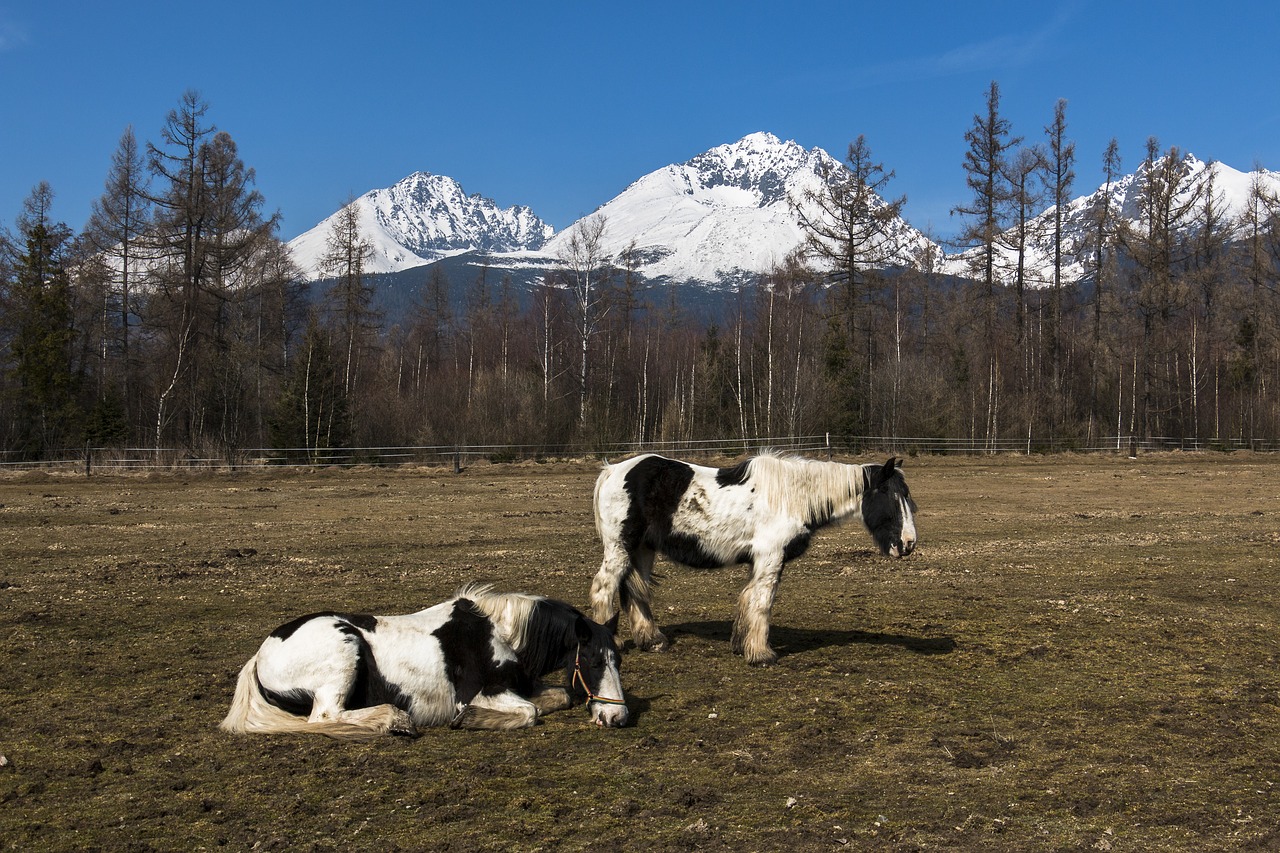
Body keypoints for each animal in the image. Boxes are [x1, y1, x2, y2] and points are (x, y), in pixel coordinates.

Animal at [221, 581, 629, 732]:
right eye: (594, 661)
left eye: (619, 660)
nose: (618, 717)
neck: (501, 633)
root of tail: (260, 655)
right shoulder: (483, 692)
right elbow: (529, 712)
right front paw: (467, 719)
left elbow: (559, 696)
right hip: (342, 653)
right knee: (324, 717)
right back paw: (393, 719)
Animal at [593, 450, 916, 666]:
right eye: (887, 493)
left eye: (907, 496)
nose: (908, 543)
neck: (791, 498)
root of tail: (613, 471)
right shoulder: (770, 557)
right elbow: (762, 601)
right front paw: (761, 654)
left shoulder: (760, 561)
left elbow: (748, 598)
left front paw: (741, 645)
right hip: (620, 548)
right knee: (603, 588)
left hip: (643, 550)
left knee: (636, 591)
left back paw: (652, 641)